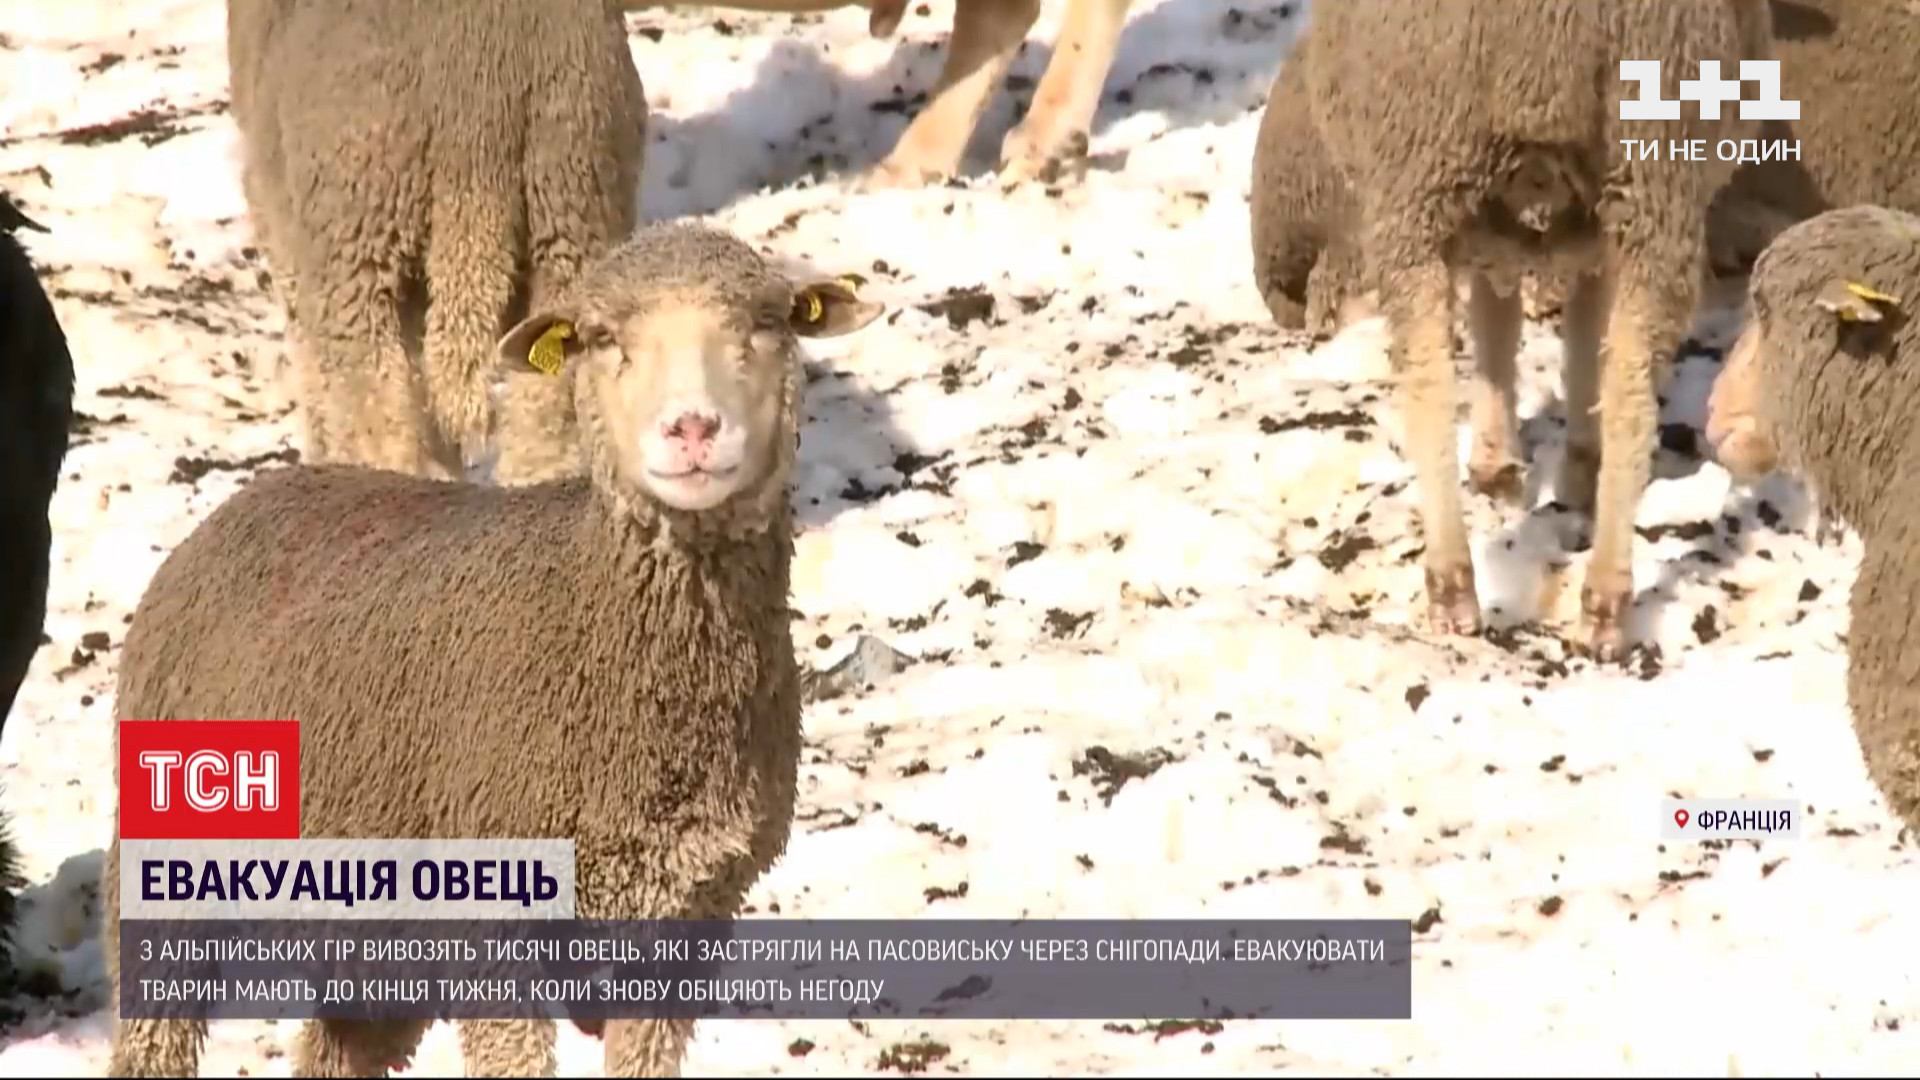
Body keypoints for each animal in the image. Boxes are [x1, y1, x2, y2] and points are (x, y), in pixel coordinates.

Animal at [101, 220, 879, 1076]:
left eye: (768, 321)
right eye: (600, 338)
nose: (692, 429)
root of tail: (244, 501)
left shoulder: (686, 918)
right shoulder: (495, 922)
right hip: (162, 886)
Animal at [1297, 0, 1774, 657]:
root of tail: (1548, 29)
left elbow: (1499, 321)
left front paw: (1498, 463)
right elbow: (1556, 322)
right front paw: (1562, 461)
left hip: (1414, 170)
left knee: (1428, 387)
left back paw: (1453, 588)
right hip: (1655, 169)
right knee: (1630, 393)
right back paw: (1603, 602)